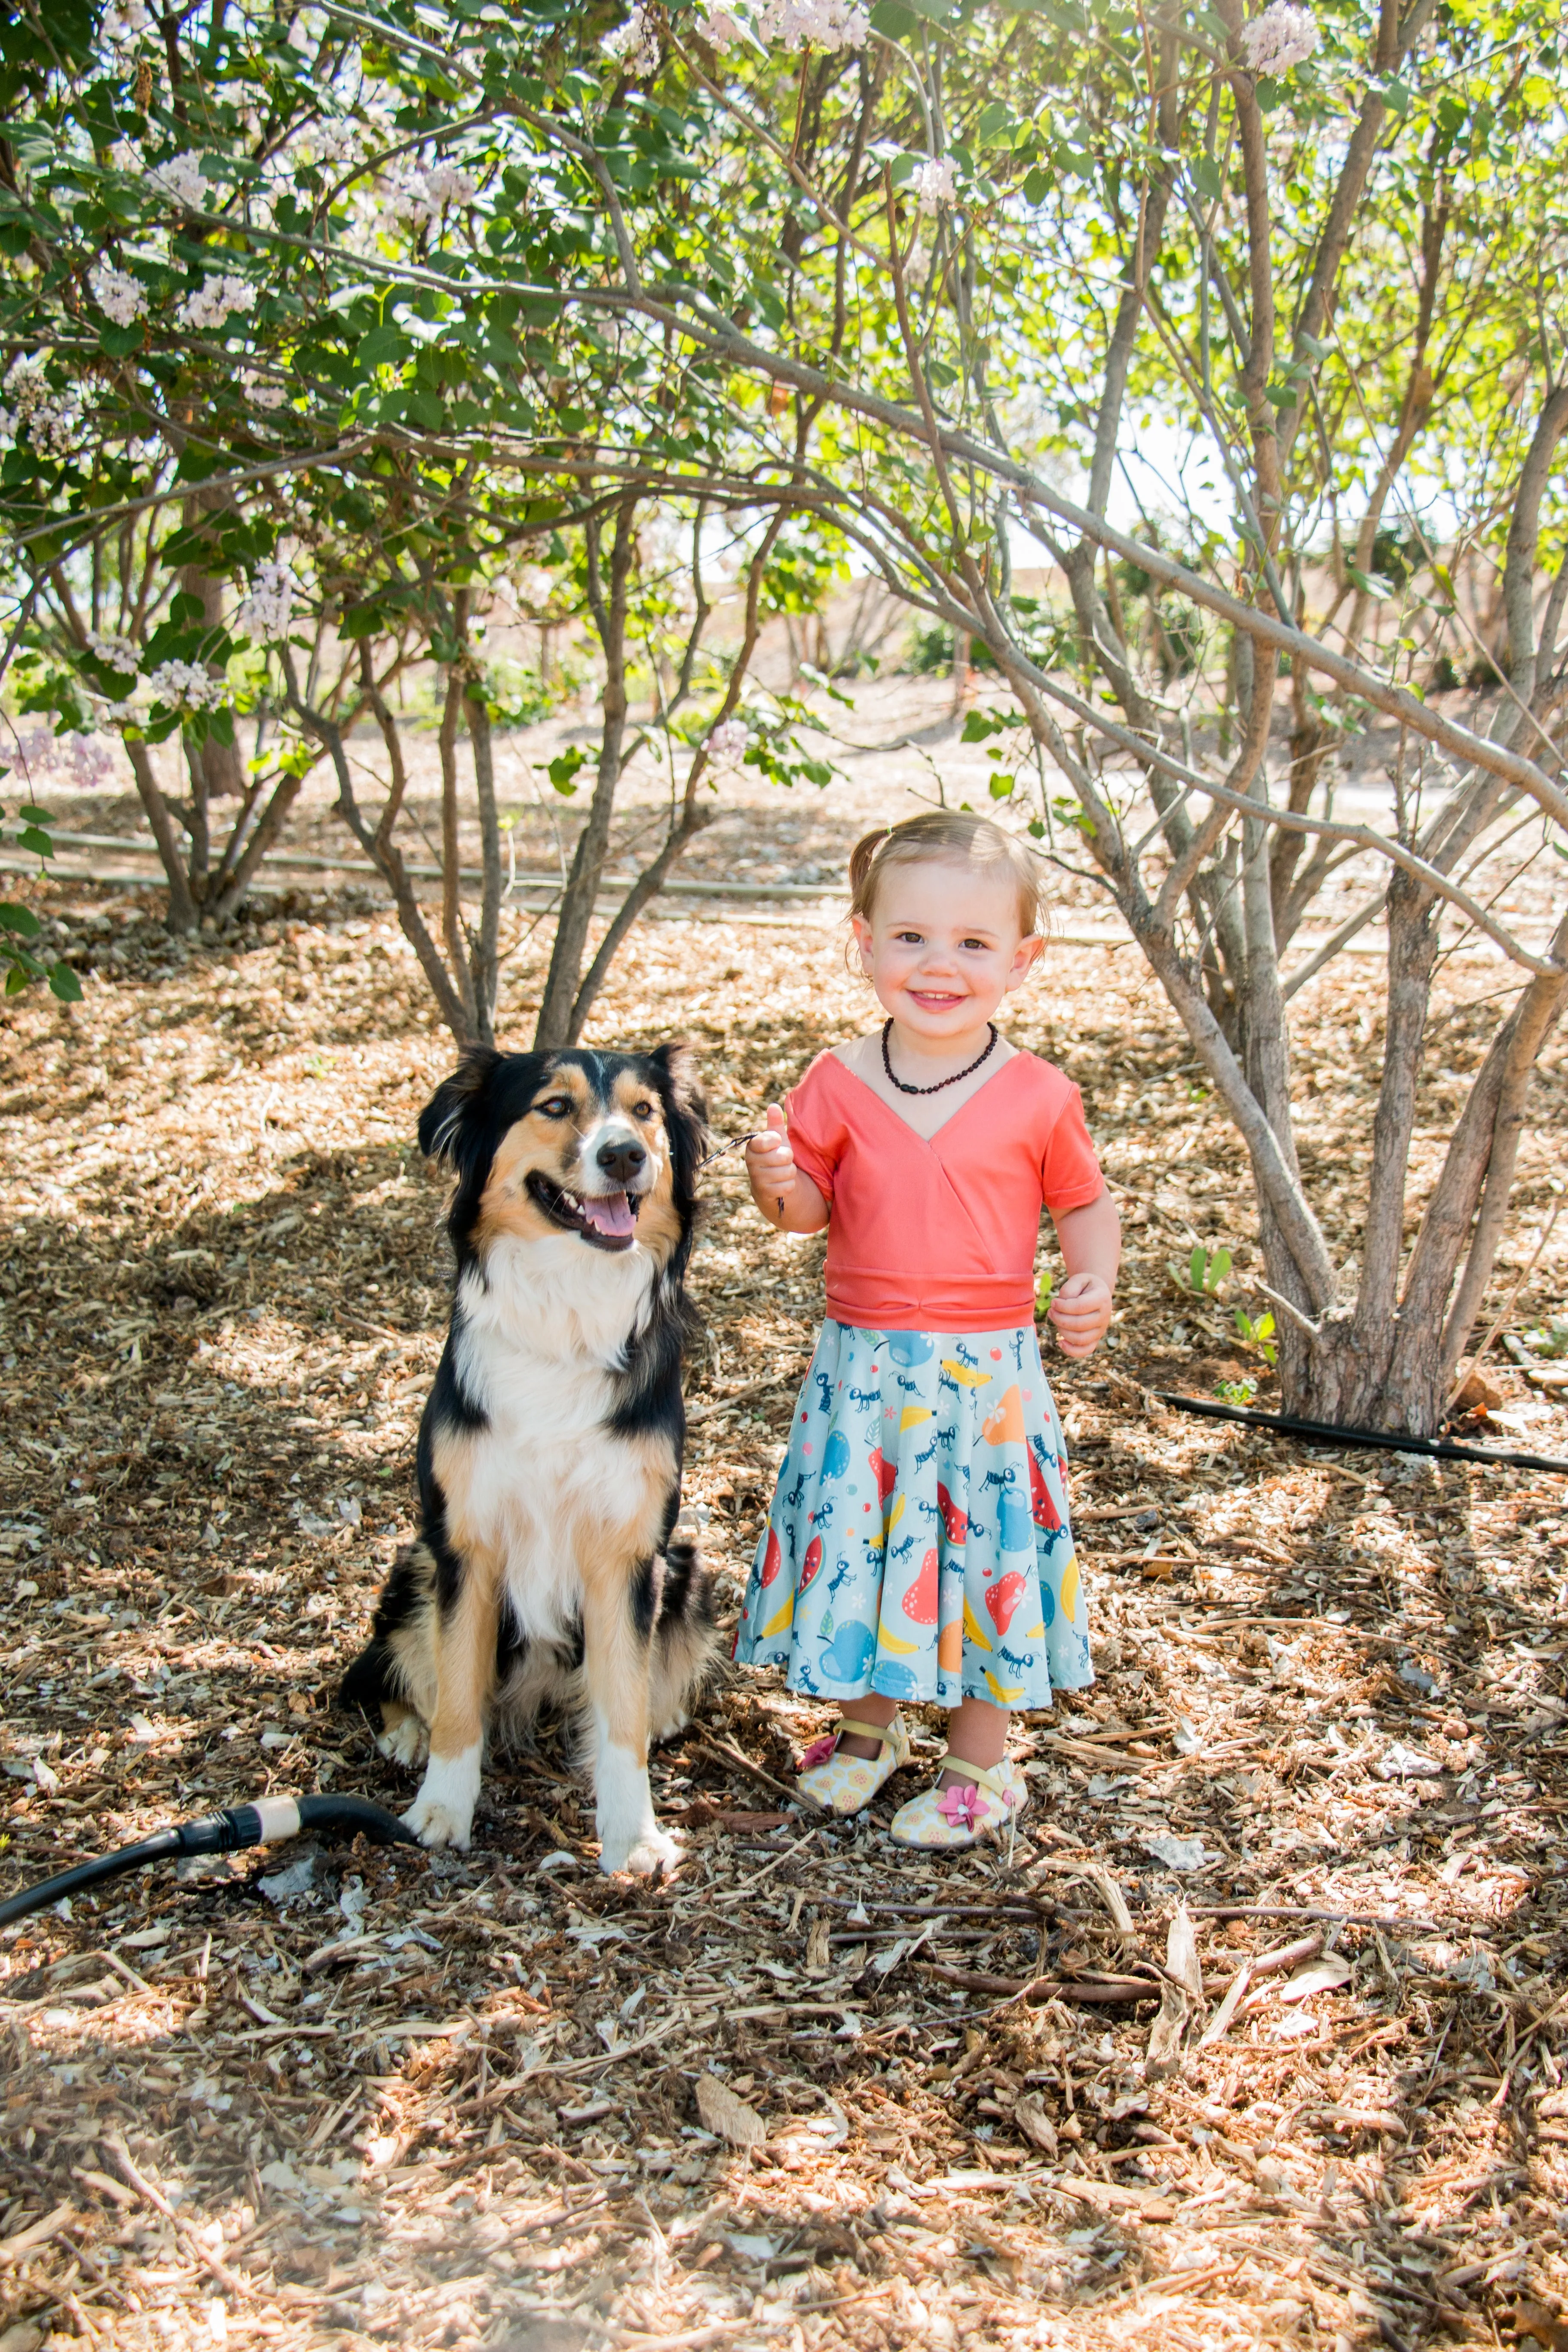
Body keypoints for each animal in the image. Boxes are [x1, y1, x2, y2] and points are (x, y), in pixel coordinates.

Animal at [343, 1049, 724, 1872]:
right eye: (553, 1106)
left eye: (644, 1112)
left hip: (685, 1564)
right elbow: (458, 1694)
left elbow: (620, 1709)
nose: (626, 1156)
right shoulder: (465, 1544)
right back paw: (407, 1730)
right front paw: (441, 1810)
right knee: (384, 1674)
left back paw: (665, 1710)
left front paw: (632, 1835)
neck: (567, 1312)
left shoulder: (629, 1552)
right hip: (413, 1563)